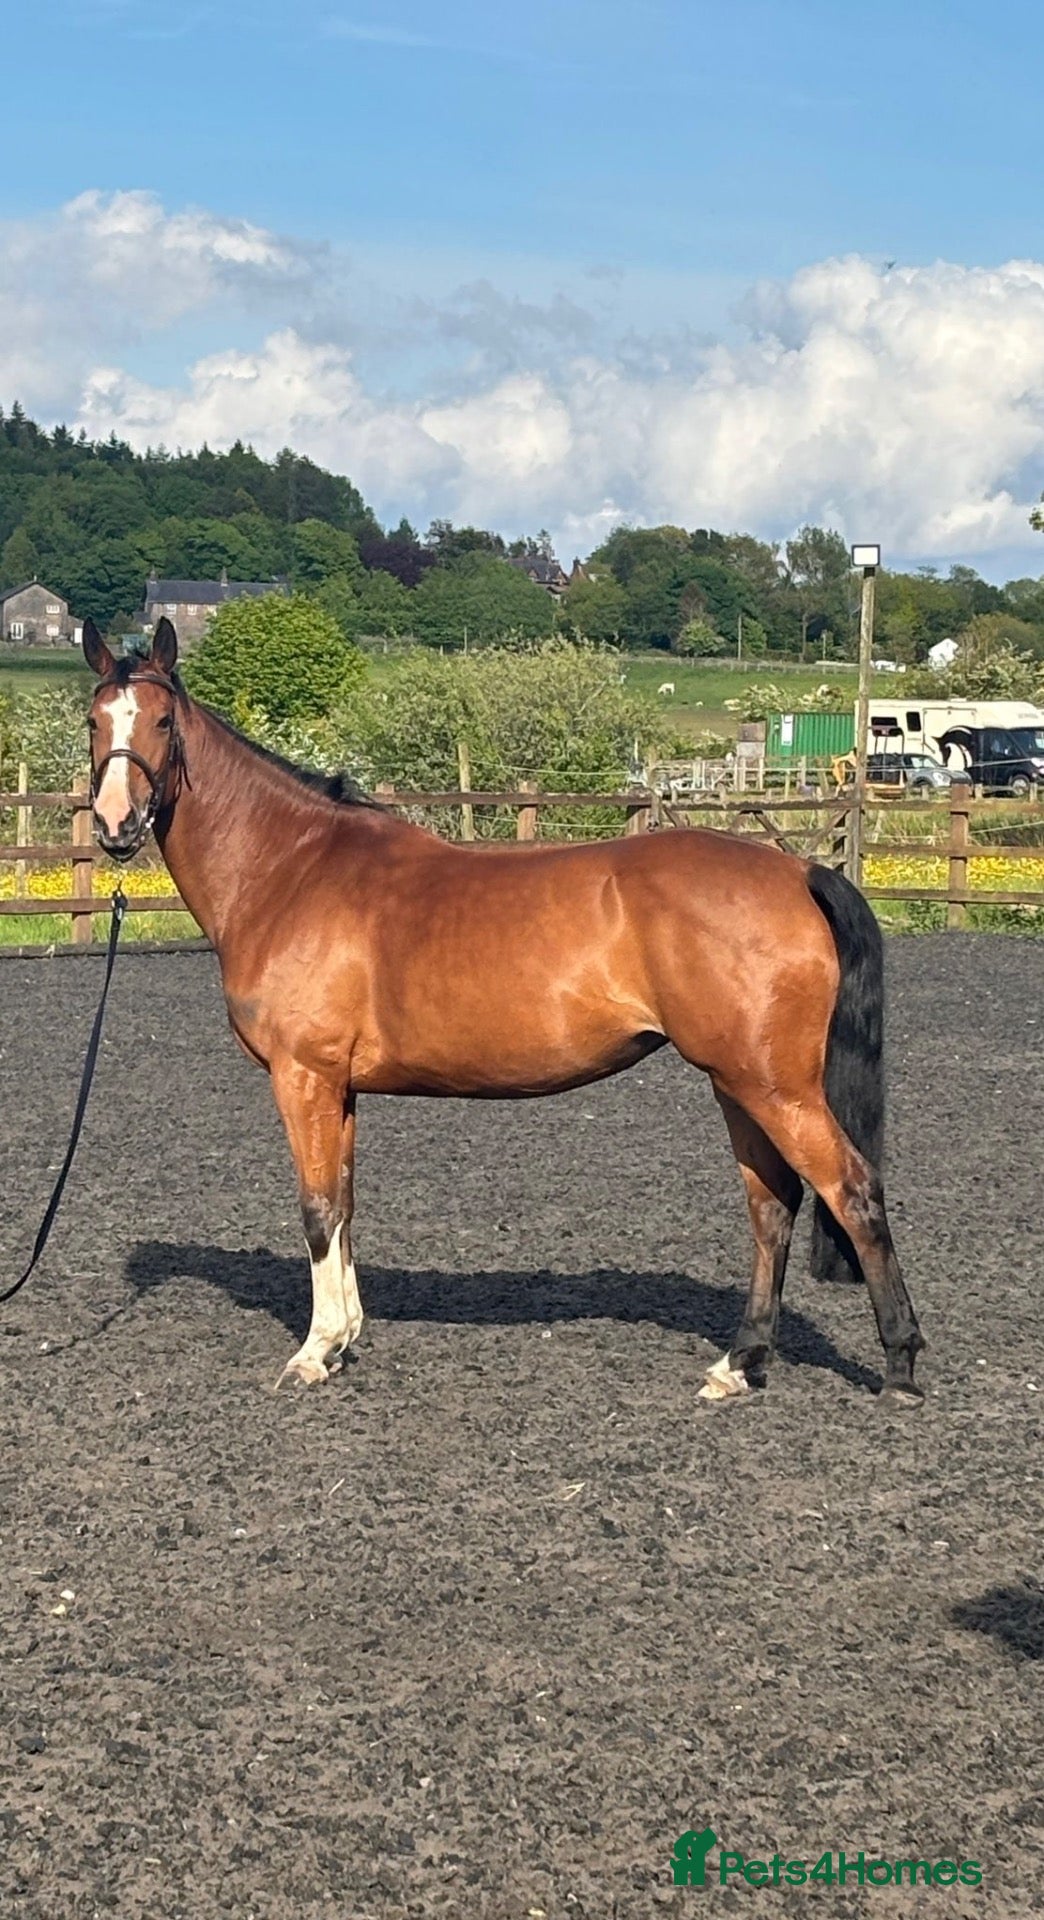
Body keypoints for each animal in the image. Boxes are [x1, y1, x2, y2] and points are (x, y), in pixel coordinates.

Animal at [83, 618, 925, 1409]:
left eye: (162, 721)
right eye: (94, 719)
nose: (116, 824)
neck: (291, 868)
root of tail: (798, 870)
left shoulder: (303, 1078)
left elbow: (318, 1209)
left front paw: (314, 1352)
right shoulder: (340, 1089)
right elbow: (346, 1203)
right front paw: (346, 1336)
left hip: (772, 1086)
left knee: (851, 1190)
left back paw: (900, 1366)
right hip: (738, 1083)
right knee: (772, 1206)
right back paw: (740, 1363)